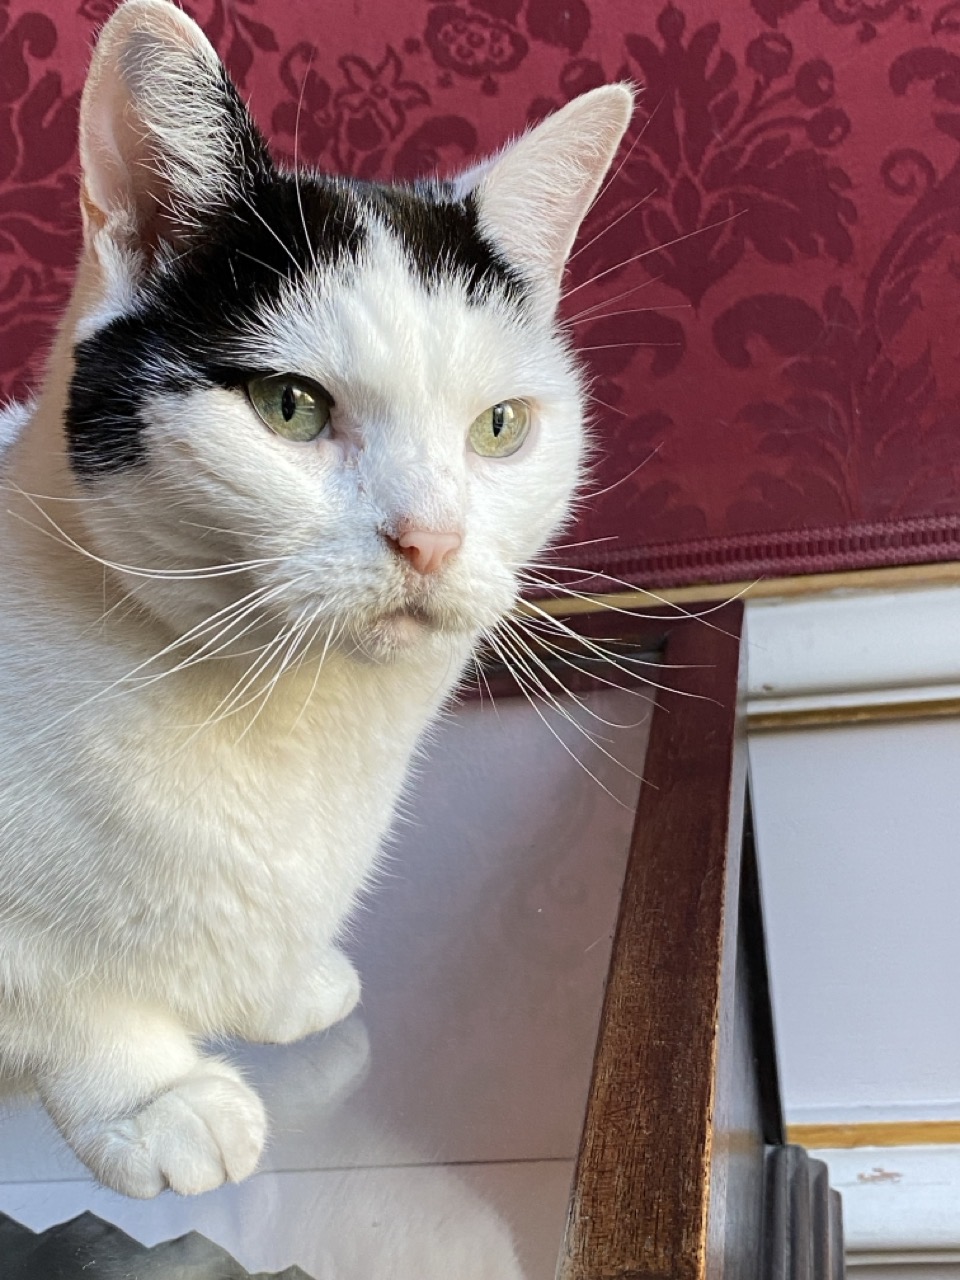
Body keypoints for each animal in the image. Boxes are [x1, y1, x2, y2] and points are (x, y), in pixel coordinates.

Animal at [0, 0, 634, 1198]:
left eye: (500, 427)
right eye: (290, 406)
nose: (430, 539)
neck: (287, 719)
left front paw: (279, 984)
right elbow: (65, 989)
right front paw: (156, 1093)